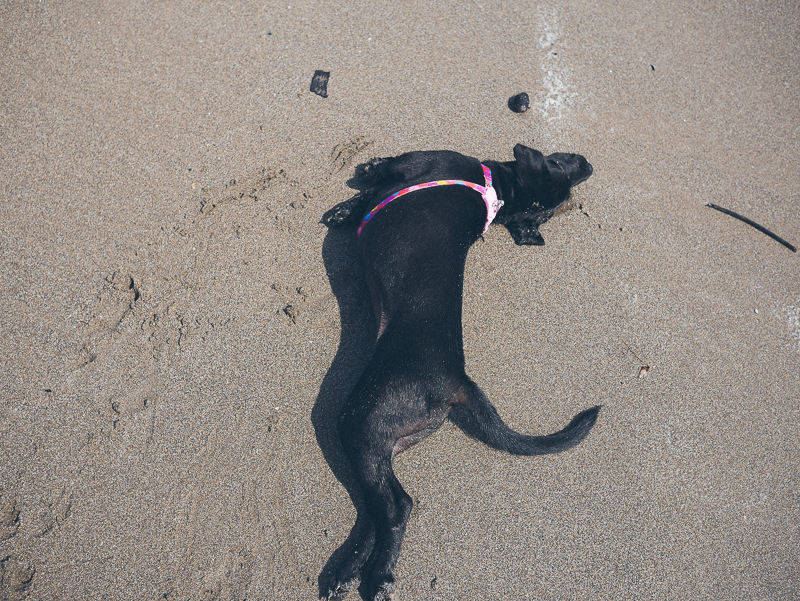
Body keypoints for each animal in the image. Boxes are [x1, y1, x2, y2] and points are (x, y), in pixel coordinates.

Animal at [322, 143, 596, 596]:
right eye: (559, 164)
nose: (588, 165)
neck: (499, 189)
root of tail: (458, 381)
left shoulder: (415, 162)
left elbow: (376, 181)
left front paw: (353, 195)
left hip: (362, 417)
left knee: (395, 506)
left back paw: (374, 576)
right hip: (388, 437)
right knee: (382, 507)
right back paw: (348, 574)